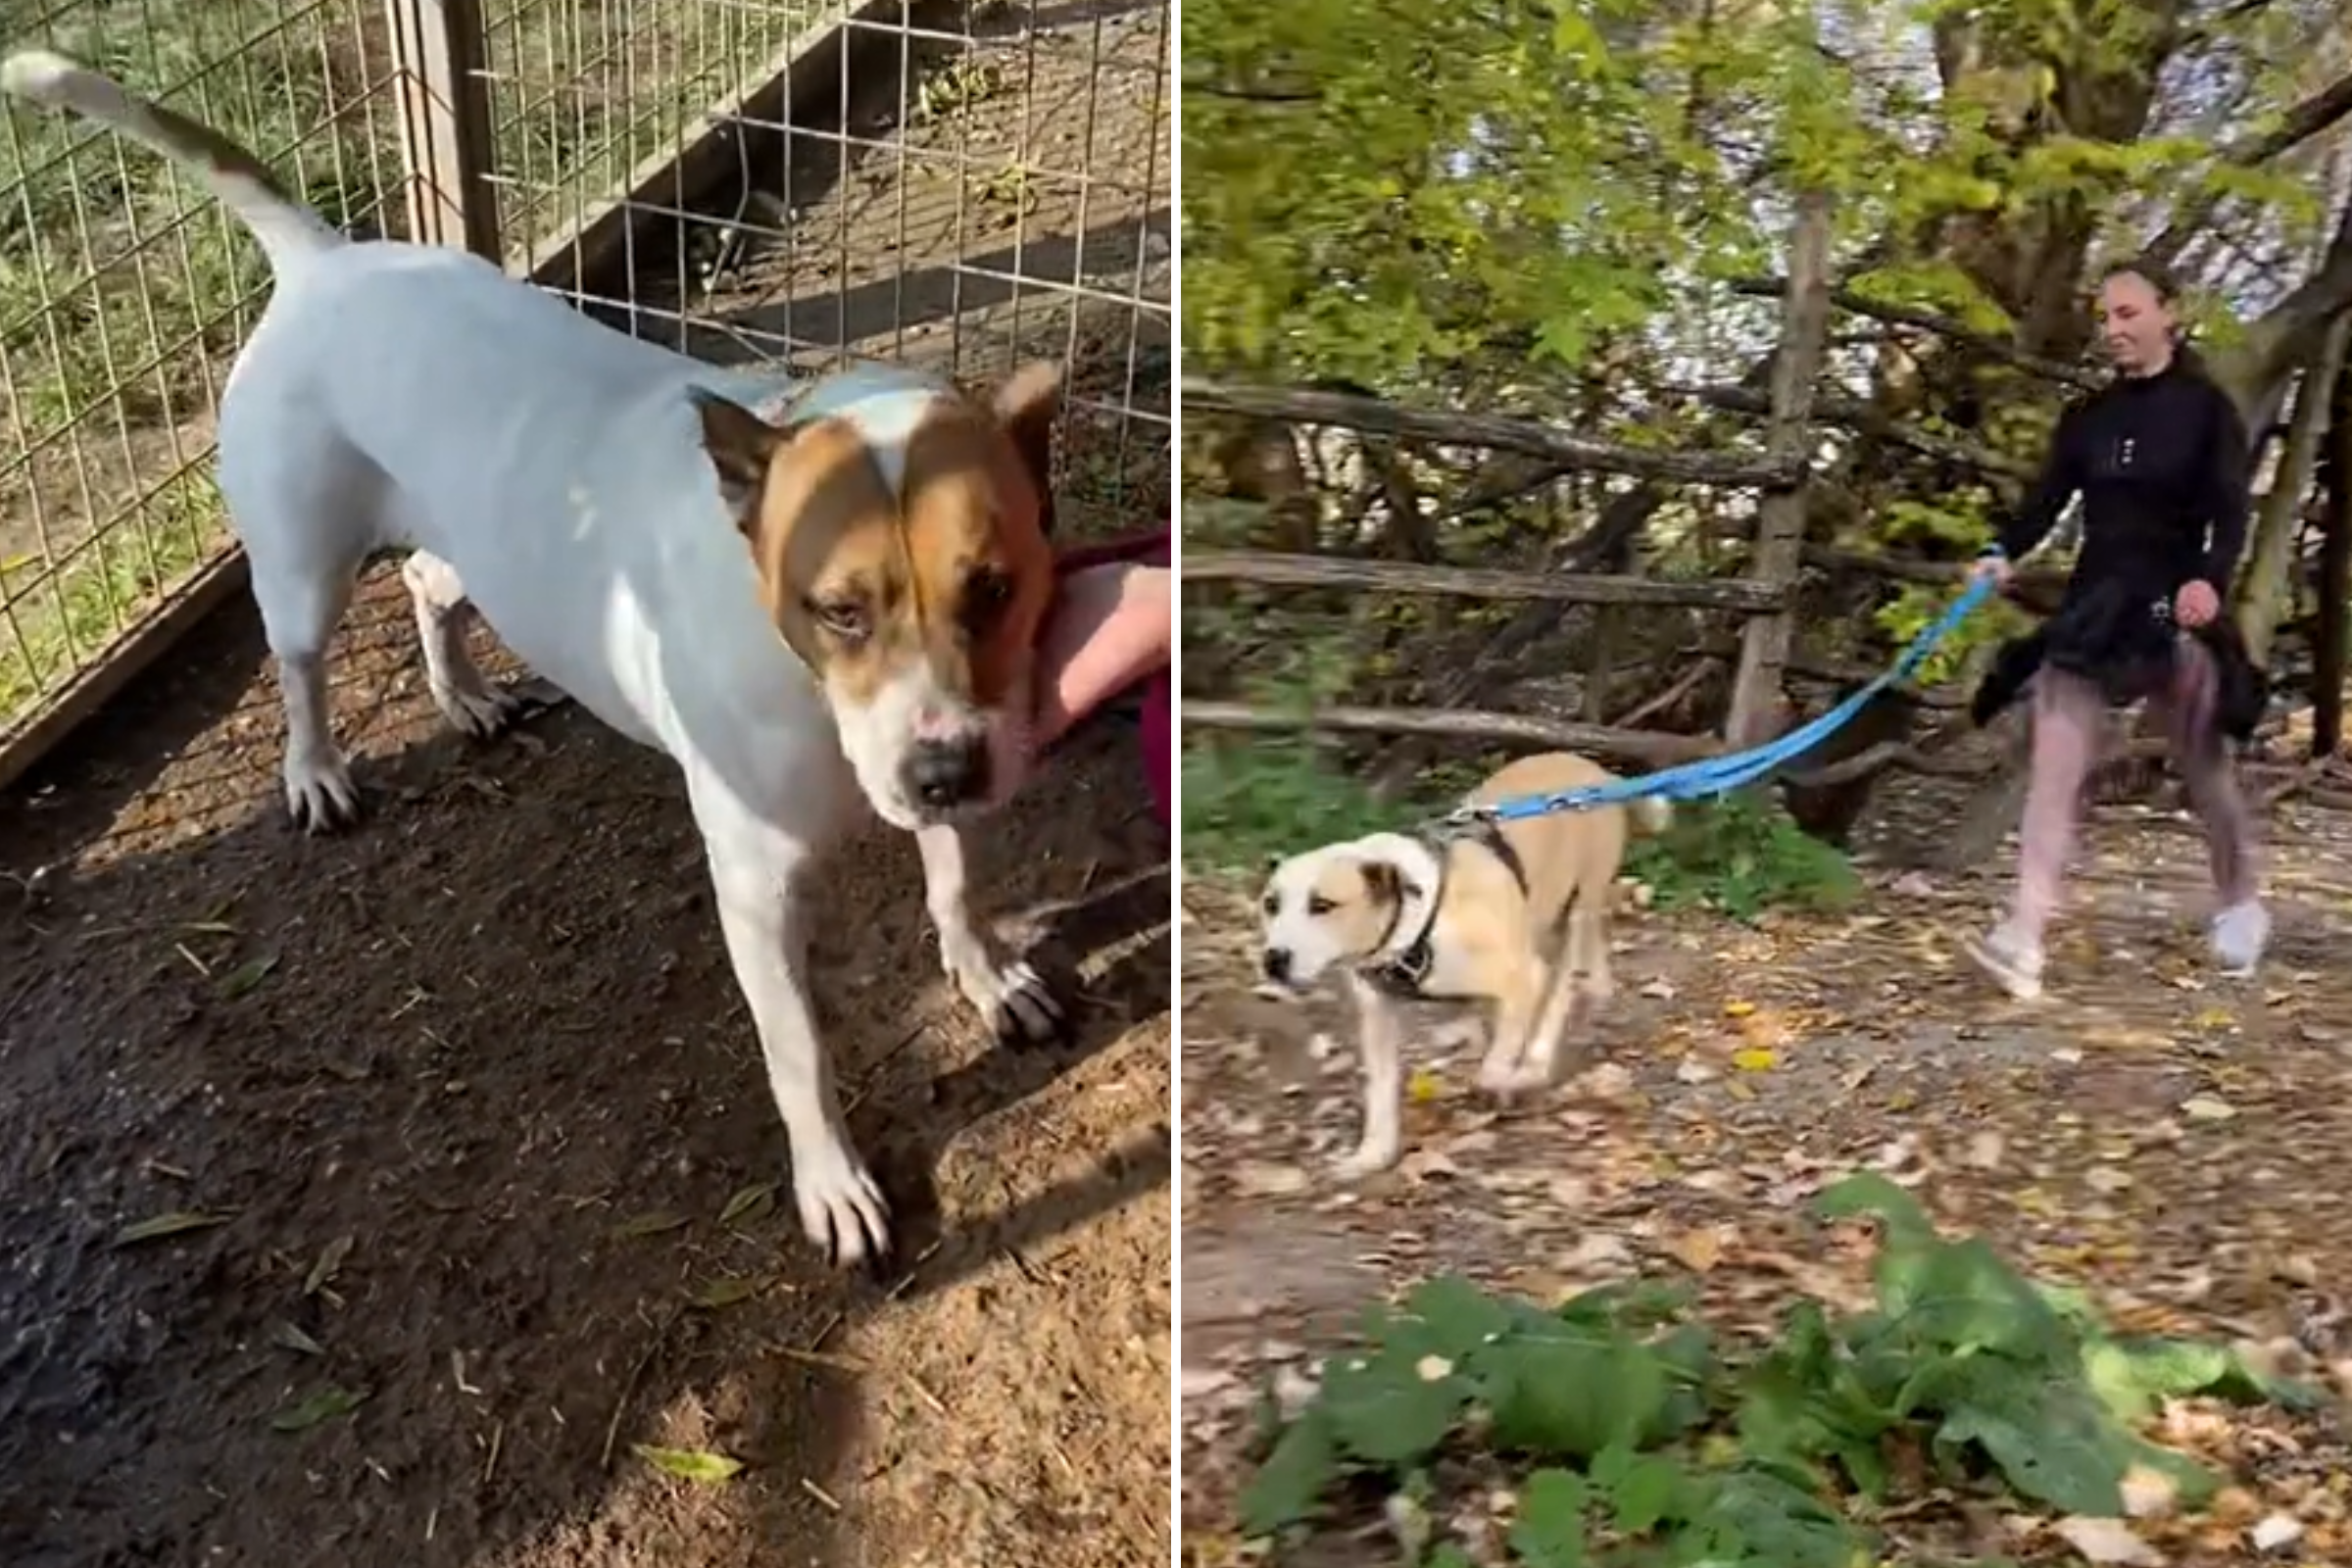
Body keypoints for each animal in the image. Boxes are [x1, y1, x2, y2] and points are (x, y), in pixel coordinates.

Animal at [0, 55, 1067, 1269]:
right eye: (838, 610)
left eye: (994, 587)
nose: (941, 773)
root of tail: (322, 260)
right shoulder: (756, 891)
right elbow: (800, 1054)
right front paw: (833, 1181)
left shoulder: (963, 752)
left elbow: (957, 881)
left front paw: (987, 973)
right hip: (304, 572)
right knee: (302, 665)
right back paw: (316, 770)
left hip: (486, 549)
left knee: (426, 583)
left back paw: (463, 695)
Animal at [1260, 757, 1665, 1175]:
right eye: (1270, 904)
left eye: (1322, 905)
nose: (1274, 960)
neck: (1418, 915)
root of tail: (1594, 769)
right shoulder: (1378, 1015)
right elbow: (1381, 1091)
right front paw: (1373, 1153)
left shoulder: (1524, 976)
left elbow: (1497, 1060)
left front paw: (1498, 1079)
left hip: (1576, 910)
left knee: (1560, 988)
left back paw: (1532, 1063)